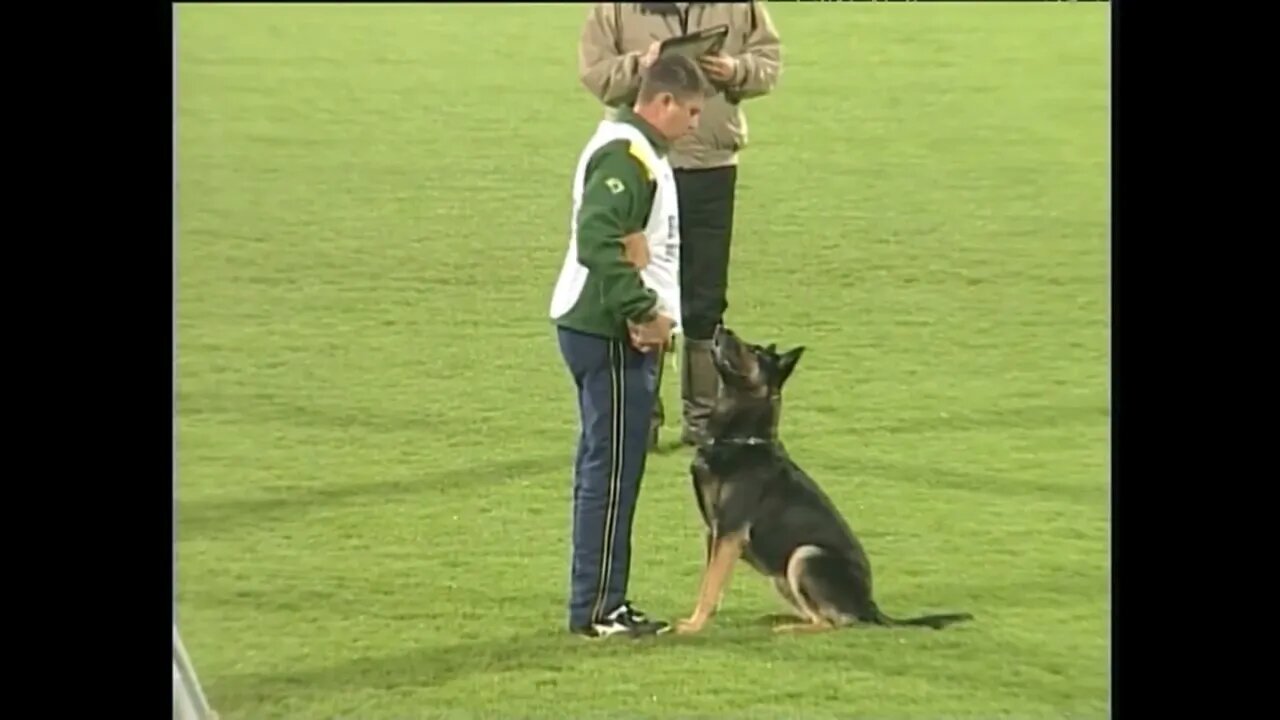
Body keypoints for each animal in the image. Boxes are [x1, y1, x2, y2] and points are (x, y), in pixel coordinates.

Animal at [675, 325, 972, 632]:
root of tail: (870, 606)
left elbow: (710, 586)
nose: (722, 328)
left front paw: (693, 626)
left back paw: (790, 628)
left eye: (754, 351)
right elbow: (711, 583)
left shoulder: (730, 533)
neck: (742, 438)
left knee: (832, 622)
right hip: (782, 574)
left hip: (804, 555)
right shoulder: (715, 533)